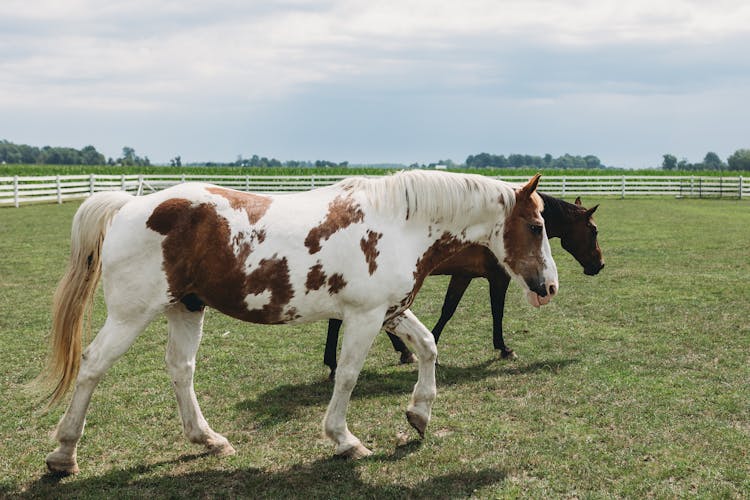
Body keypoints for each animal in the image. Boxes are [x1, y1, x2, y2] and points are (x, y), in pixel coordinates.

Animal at [41, 169, 560, 472]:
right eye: (536, 227)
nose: (549, 286)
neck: (399, 223)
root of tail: (128, 205)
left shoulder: (391, 312)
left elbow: (429, 347)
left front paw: (418, 415)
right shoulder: (365, 317)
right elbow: (347, 375)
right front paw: (344, 440)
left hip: (185, 308)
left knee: (180, 370)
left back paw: (208, 439)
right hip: (131, 314)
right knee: (92, 365)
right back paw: (64, 453)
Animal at [324, 193, 604, 376]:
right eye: (593, 231)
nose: (599, 265)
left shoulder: (463, 276)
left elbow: (448, 310)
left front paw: (434, 347)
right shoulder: (498, 278)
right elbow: (497, 311)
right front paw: (503, 348)